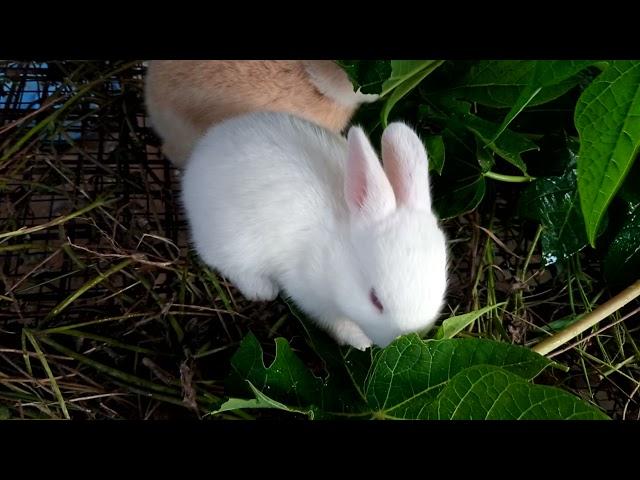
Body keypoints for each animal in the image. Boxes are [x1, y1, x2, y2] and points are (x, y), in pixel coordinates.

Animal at [182, 111, 448, 348]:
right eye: (375, 300)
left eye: (440, 288)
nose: (405, 341)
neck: (338, 255)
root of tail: (198, 158)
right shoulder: (311, 297)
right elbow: (335, 321)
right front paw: (359, 341)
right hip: (231, 242)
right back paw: (262, 290)